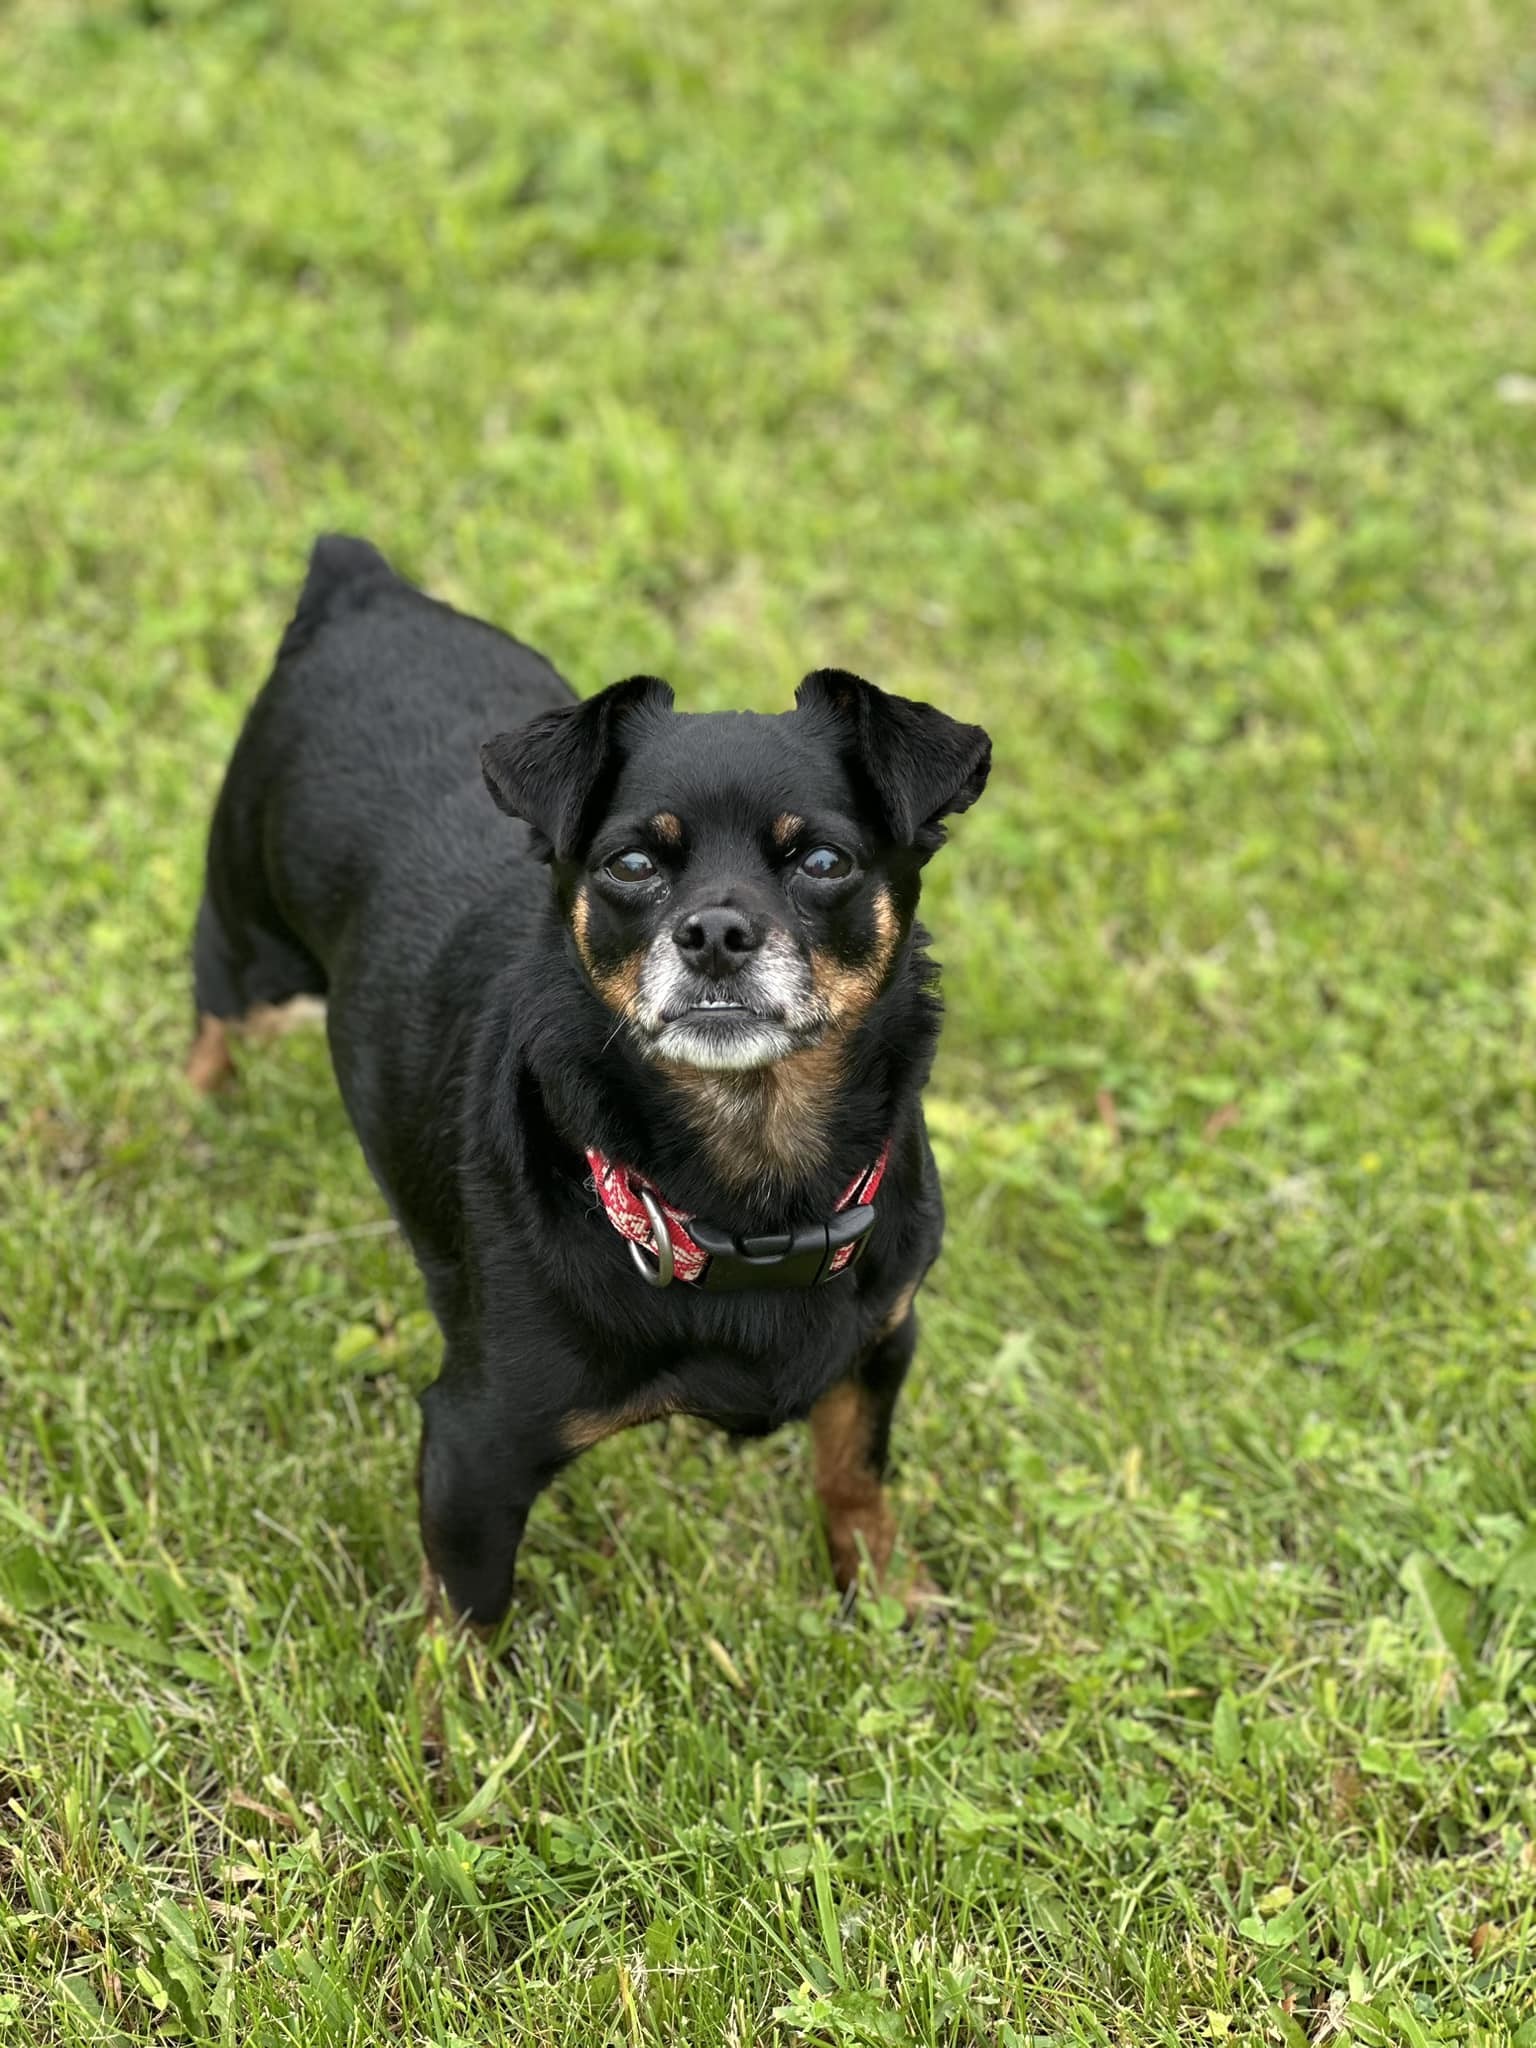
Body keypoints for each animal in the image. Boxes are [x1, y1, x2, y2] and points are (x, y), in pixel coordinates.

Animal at [189, 536, 999, 1622]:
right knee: (212, 1019)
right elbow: (468, 1619)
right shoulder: (474, 1450)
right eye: (631, 865)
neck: (748, 1190)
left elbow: (853, 1473)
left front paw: (884, 1592)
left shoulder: (879, 1348)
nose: (715, 930)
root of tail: (359, 586)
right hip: (246, 940)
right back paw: (198, 1121)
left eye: (826, 860)